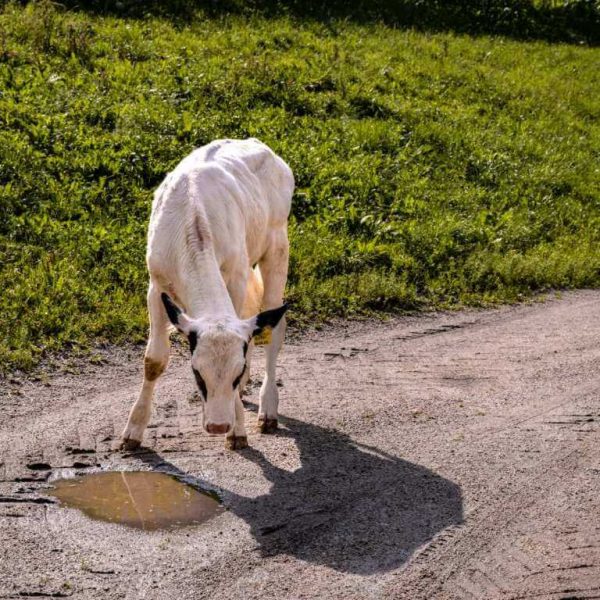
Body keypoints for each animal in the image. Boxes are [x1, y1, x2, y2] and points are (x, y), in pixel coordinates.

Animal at [120, 138, 294, 450]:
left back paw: (267, 408)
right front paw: (133, 431)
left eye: (235, 374)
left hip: (277, 245)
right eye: (197, 373)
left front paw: (237, 430)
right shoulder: (156, 285)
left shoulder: (236, 278)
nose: (217, 426)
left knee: (273, 329)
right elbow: (154, 360)